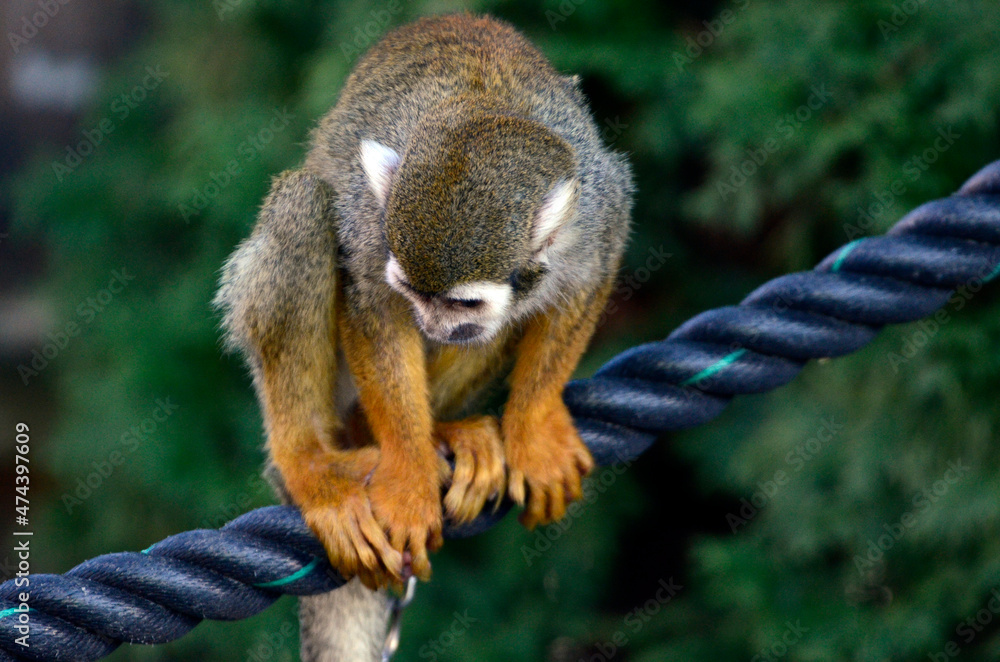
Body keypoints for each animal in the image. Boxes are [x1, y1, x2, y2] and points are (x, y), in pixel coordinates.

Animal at [214, 13, 633, 598]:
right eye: (414, 294)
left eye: (462, 302)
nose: (433, 324)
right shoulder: (372, 218)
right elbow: (376, 313)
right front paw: (410, 477)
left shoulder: (600, 206)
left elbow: (587, 282)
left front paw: (532, 426)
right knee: (305, 203)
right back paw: (310, 464)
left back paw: (444, 432)